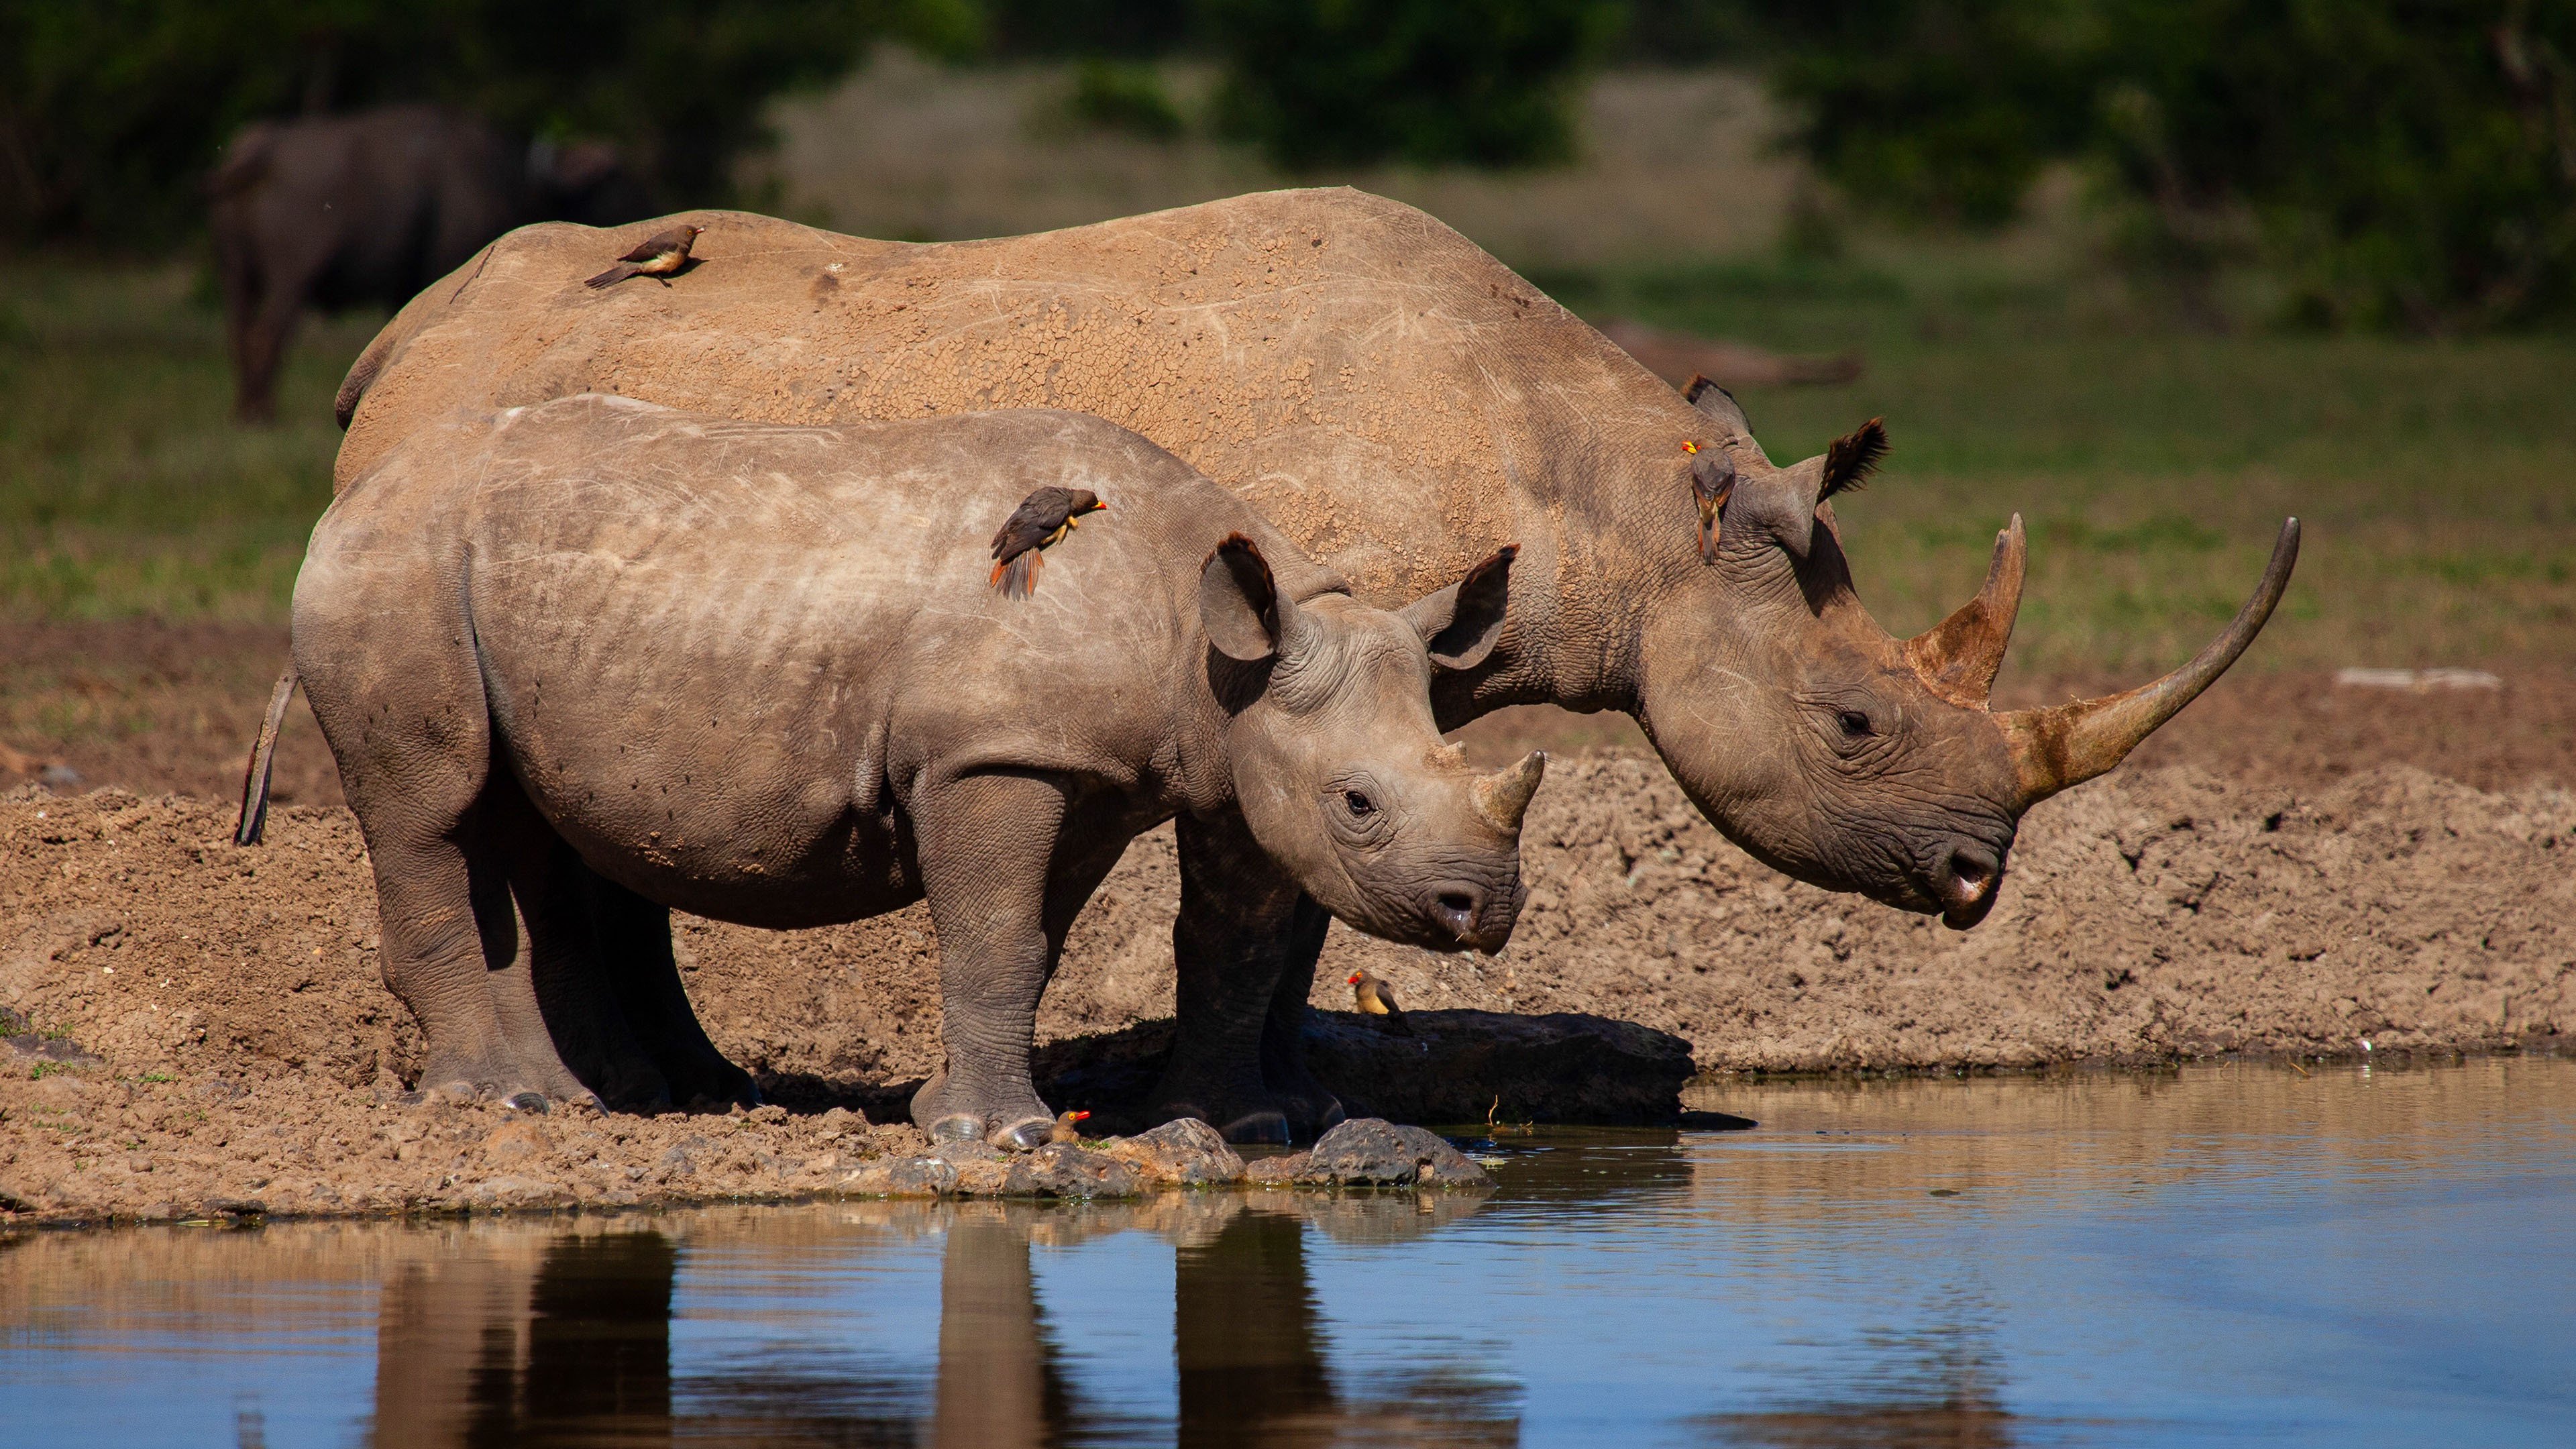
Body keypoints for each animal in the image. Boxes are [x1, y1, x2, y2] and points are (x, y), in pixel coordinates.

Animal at [301, 389, 1546, 1144]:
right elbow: (993, 936)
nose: (1483, 911)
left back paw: (561, 1104)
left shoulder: (1103, 770)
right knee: (429, 811)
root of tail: (351, 493)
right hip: (398, 565)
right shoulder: (990, 759)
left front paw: (965, 1113)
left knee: (512, 822)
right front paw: (999, 1135)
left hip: (487, 585)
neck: (1211, 655)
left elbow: (1040, 943)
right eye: (1357, 801)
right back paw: (490, 1103)